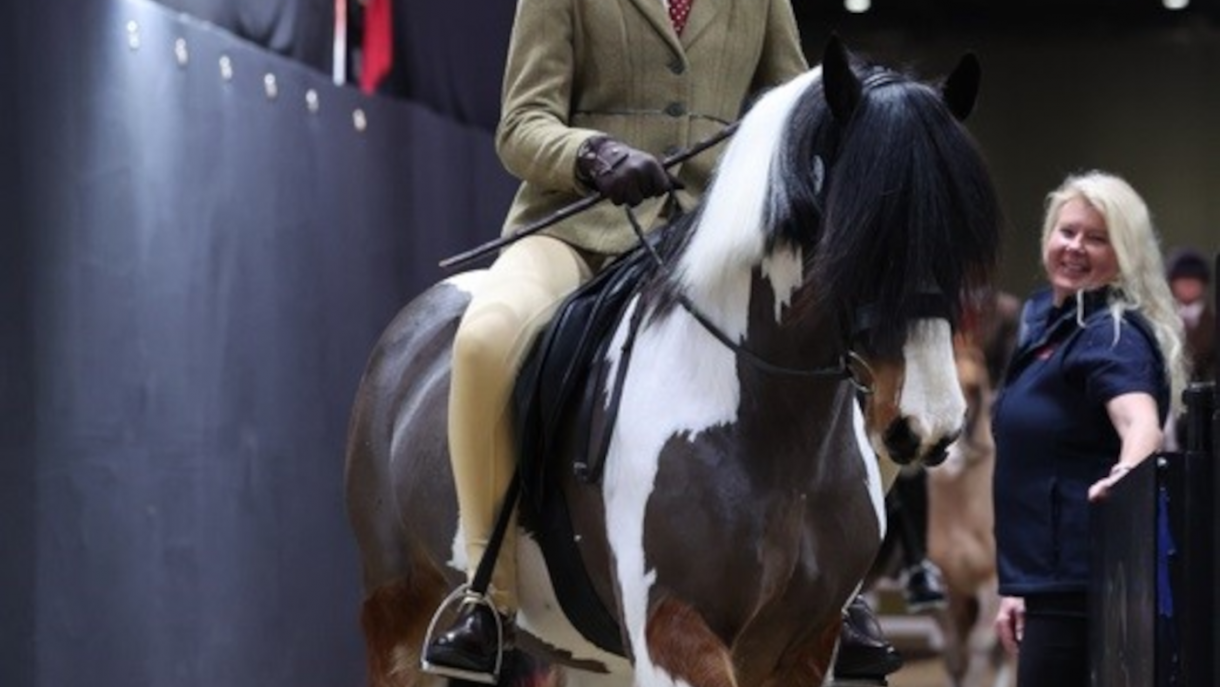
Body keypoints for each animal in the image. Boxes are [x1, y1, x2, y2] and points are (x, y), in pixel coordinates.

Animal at [344, 38, 1002, 687]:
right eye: (858, 229)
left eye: (962, 232)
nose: (930, 424)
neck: (774, 424)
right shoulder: (675, 629)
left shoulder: (803, 646)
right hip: (397, 608)